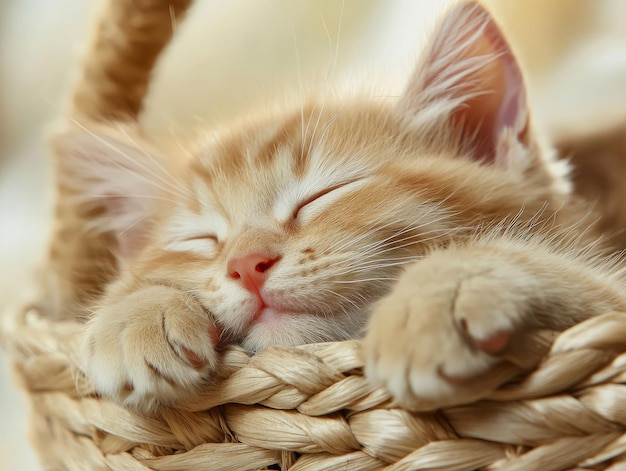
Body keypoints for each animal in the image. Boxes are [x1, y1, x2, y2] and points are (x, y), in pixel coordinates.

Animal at [52, 0, 624, 412]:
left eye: (323, 195)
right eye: (201, 239)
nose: (246, 265)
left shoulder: (609, 304)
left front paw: (439, 296)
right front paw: (134, 316)